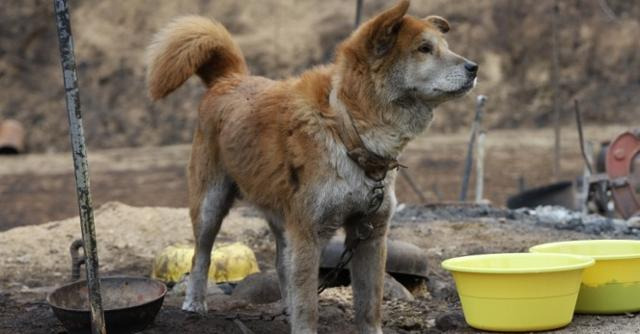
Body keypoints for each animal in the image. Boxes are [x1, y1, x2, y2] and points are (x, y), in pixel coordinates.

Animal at [145, 1, 476, 332]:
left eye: (446, 46)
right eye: (424, 48)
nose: (474, 68)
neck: (347, 130)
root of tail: (229, 79)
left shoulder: (371, 235)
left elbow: (369, 306)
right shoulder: (309, 233)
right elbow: (309, 307)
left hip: (282, 217)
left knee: (282, 263)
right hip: (211, 205)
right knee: (201, 256)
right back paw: (195, 302)